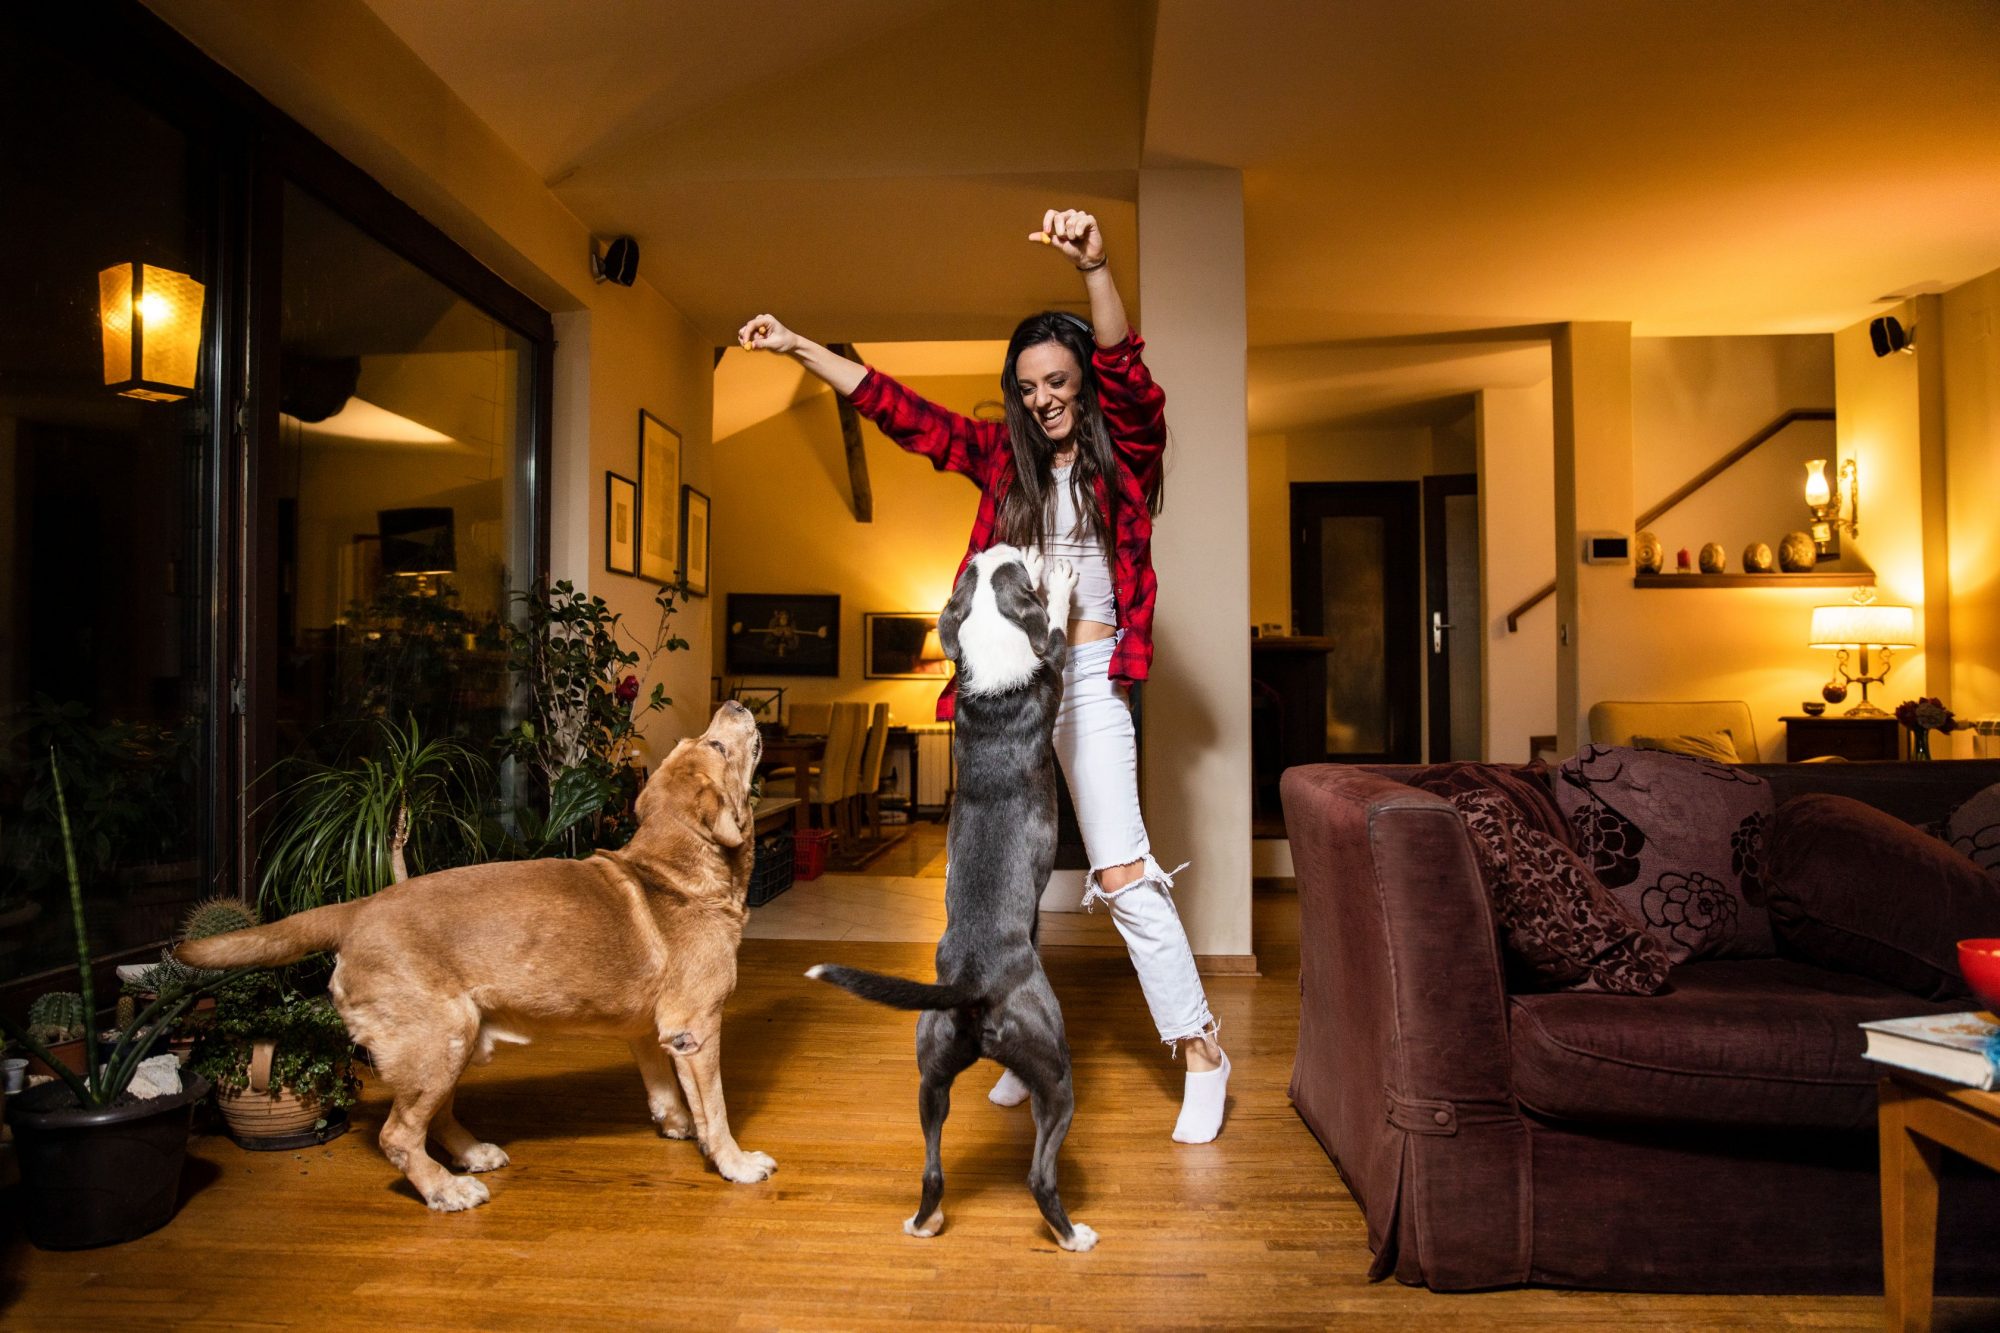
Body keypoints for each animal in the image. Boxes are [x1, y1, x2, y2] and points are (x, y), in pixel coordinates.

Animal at [180, 700, 772, 1208]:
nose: (735, 704)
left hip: (455, 1042)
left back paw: (471, 1155)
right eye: (717, 745)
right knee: (399, 1135)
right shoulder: (697, 1030)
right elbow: (716, 1109)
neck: (674, 871)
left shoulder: (650, 1032)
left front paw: (680, 1127)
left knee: (435, 1120)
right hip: (440, 1041)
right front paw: (733, 1161)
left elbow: (667, 1091)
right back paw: (445, 1189)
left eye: (701, 740)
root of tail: (358, 908)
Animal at [808, 540, 1096, 1248]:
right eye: (1015, 568)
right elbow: (1055, 631)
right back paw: (1073, 1236)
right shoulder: (1052, 661)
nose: (1012, 543)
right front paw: (1062, 579)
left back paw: (924, 1222)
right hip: (1056, 1073)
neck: (992, 655)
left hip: (929, 1075)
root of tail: (970, 982)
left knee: (933, 1167)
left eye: (974, 570)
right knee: (1039, 1176)